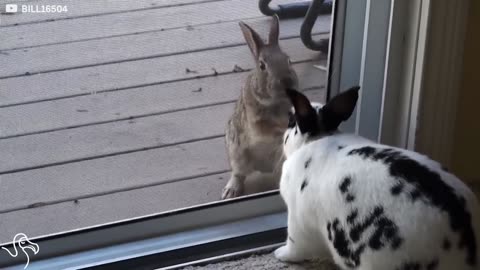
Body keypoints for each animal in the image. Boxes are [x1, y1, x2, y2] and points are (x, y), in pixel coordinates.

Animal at [222, 16, 298, 198]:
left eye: (288, 59)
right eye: (262, 66)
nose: (287, 82)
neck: (277, 102)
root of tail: (263, 168)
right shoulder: (256, 123)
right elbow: (267, 129)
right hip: (237, 154)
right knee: (239, 174)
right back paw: (231, 191)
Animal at [274, 87, 480, 270]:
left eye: (291, 122)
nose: (283, 133)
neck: (318, 137)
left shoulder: (297, 221)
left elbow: (294, 245)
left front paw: (280, 254)